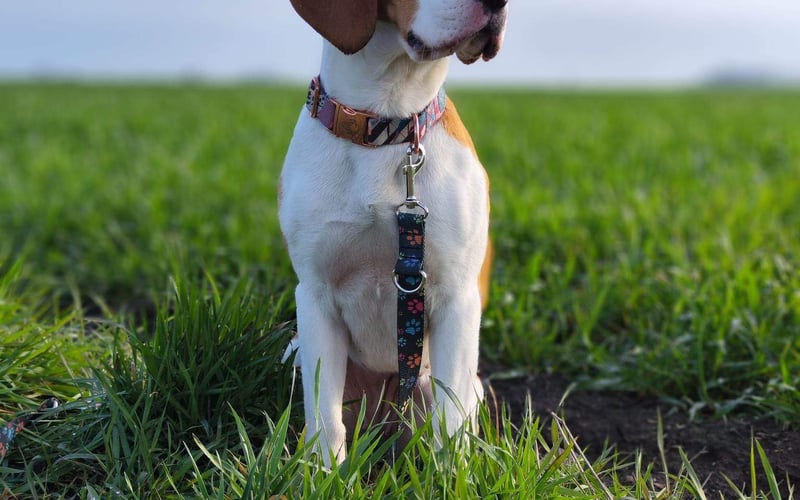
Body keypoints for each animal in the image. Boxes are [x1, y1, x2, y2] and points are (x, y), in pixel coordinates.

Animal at [280, 0, 506, 464]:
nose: (499, 4)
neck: (386, 124)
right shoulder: (315, 296)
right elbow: (325, 418)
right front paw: (323, 474)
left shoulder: (457, 297)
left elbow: (449, 425)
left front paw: (450, 475)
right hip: (294, 352)